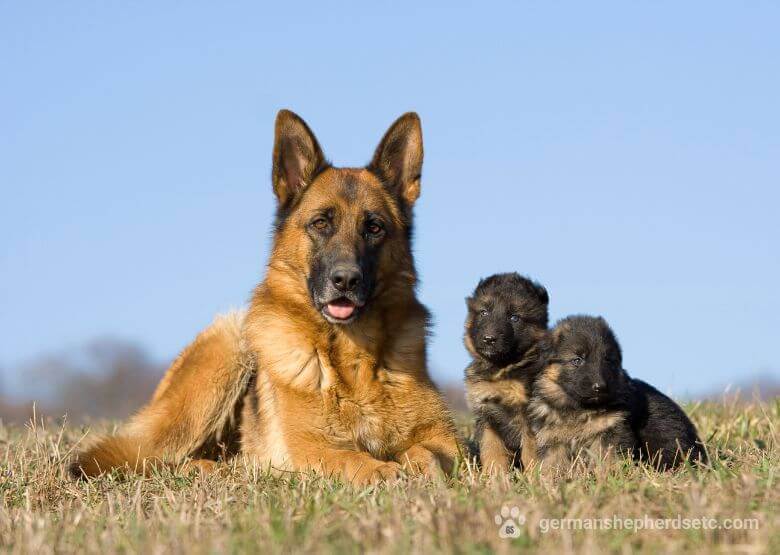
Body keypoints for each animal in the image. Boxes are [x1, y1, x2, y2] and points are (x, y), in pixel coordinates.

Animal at [68, 111, 464, 484]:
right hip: (226, 349)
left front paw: (421, 468)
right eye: (321, 223)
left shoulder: (446, 440)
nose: (346, 280)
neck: (353, 359)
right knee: (157, 459)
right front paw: (382, 471)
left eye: (375, 227)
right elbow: (351, 459)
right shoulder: (311, 448)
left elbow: (429, 453)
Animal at [464, 274, 548, 474]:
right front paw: (494, 477)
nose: (489, 339)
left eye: (514, 317)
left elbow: (531, 453)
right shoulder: (488, 416)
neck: (502, 369)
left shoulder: (530, 418)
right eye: (484, 313)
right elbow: (492, 450)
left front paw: (535, 478)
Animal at [532, 318, 708, 474]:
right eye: (577, 360)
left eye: (607, 360)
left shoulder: (611, 432)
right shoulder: (552, 440)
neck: (579, 409)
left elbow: (608, 459)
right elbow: (551, 464)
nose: (600, 387)